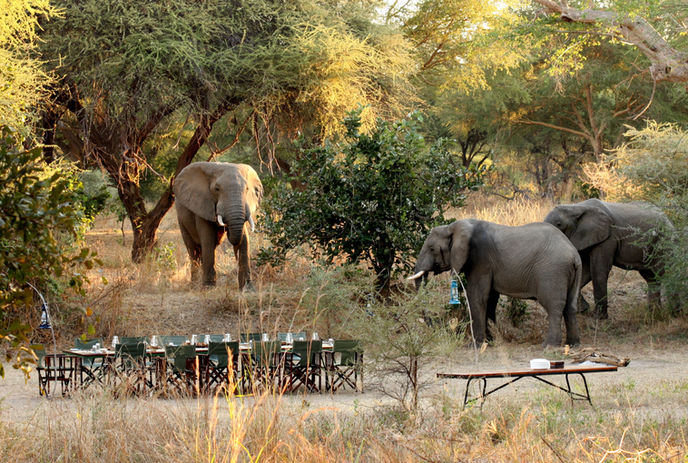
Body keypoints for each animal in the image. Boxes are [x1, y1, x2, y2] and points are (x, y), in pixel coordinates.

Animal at [408, 219, 582, 347]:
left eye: (432, 249)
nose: (435, 327)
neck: (453, 227)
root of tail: (574, 254)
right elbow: (490, 299)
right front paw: (491, 341)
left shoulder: (480, 260)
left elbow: (476, 296)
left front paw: (475, 346)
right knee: (570, 306)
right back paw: (573, 344)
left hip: (553, 271)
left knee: (554, 306)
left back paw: (549, 346)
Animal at [544, 198, 673, 319]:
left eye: (559, 224)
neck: (575, 207)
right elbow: (585, 271)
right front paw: (583, 310)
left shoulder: (608, 237)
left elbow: (598, 270)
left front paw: (598, 318)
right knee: (651, 277)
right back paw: (654, 315)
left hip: (663, 241)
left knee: (664, 273)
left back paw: (672, 313)